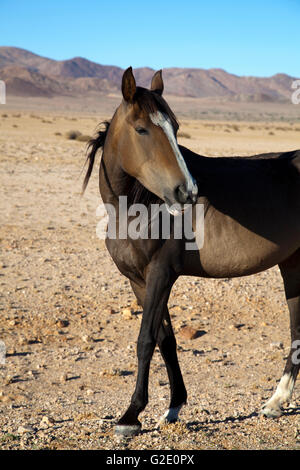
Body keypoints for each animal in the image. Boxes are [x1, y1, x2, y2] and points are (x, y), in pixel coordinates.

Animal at [82, 67, 300, 436]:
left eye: (176, 127)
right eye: (141, 129)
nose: (187, 191)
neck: (138, 207)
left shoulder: (161, 273)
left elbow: (145, 340)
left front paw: (130, 416)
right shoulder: (139, 280)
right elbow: (165, 340)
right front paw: (173, 407)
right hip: (292, 263)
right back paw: (276, 402)